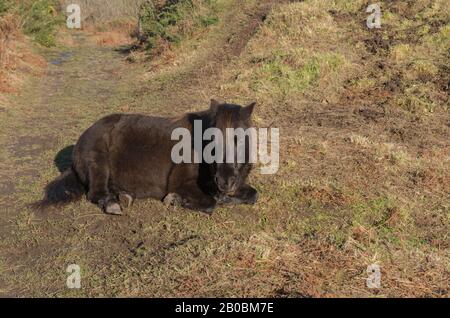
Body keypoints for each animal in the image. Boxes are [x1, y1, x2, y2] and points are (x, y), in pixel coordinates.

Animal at [34, 99, 256, 214]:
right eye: (212, 138)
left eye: (240, 137)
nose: (225, 181)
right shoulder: (182, 183)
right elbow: (210, 204)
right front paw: (175, 200)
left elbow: (253, 195)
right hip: (98, 163)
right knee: (95, 193)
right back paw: (113, 203)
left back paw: (123, 196)